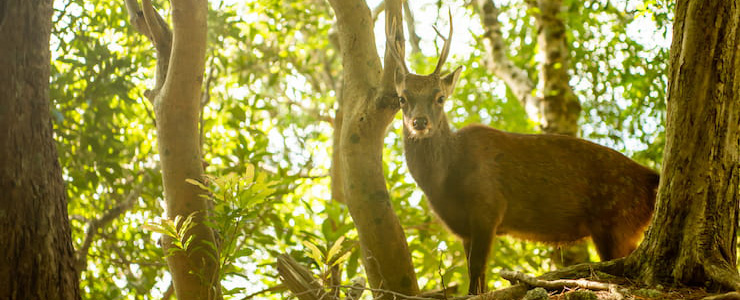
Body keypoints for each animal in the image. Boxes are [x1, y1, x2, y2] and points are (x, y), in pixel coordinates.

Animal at [388, 14, 660, 296]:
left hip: (617, 222)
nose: (420, 122)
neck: (443, 183)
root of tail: (653, 177)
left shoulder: (488, 207)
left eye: (440, 97)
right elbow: (477, 278)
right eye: (402, 98)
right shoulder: (464, 228)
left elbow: (476, 273)